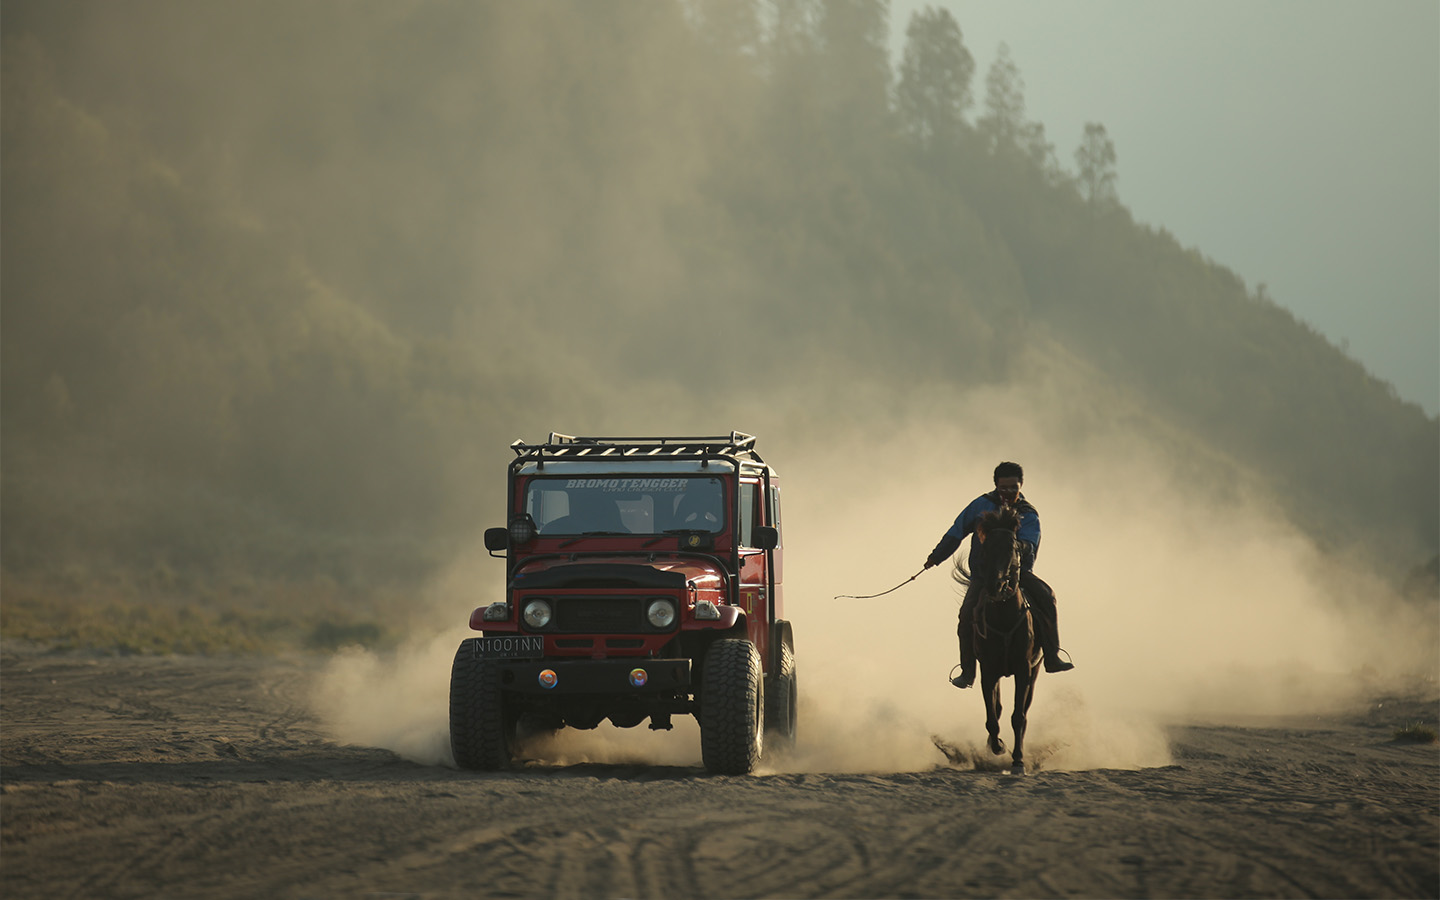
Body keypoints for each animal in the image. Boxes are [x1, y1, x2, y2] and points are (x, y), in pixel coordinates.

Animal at [956, 506, 1048, 771]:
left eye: (1012, 548)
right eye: (986, 548)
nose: (995, 585)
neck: (1004, 618)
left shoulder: (1024, 669)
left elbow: (1018, 716)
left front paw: (1018, 760)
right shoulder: (988, 670)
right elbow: (992, 715)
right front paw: (997, 746)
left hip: (1036, 669)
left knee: (1024, 710)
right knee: (996, 708)